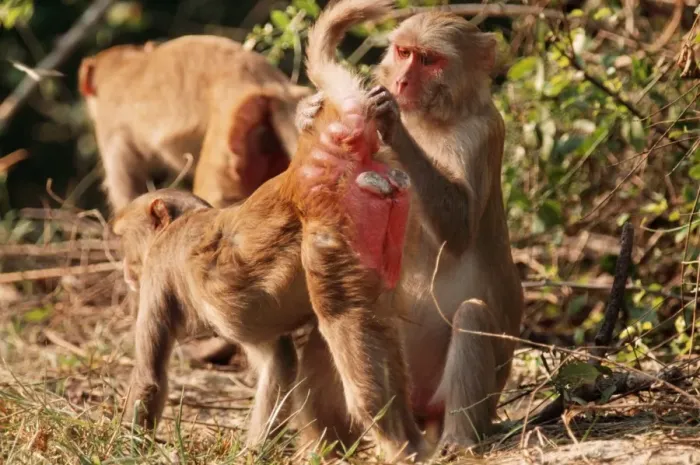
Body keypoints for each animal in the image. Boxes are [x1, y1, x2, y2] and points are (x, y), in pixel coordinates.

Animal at [112, 13, 431, 460]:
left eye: (124, 239)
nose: (125, 269)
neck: (182, 223)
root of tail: (304, 170)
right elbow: (278, 361)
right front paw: (255, 451)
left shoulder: (159, 269)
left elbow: (149, 376)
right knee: (374, 321)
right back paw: (404, 440)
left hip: (331, 230)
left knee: (342, 317)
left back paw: (393, 441)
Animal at [295, 3, 525, 452]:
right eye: (403, 52)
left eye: (429, 60)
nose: (400, 81)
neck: (434, 119)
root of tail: (423, 413)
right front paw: (305, 114)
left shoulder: (483, 134)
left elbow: (460, 229)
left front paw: (393, 122)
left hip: (465, 394)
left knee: (472, 316)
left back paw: (458, 440)